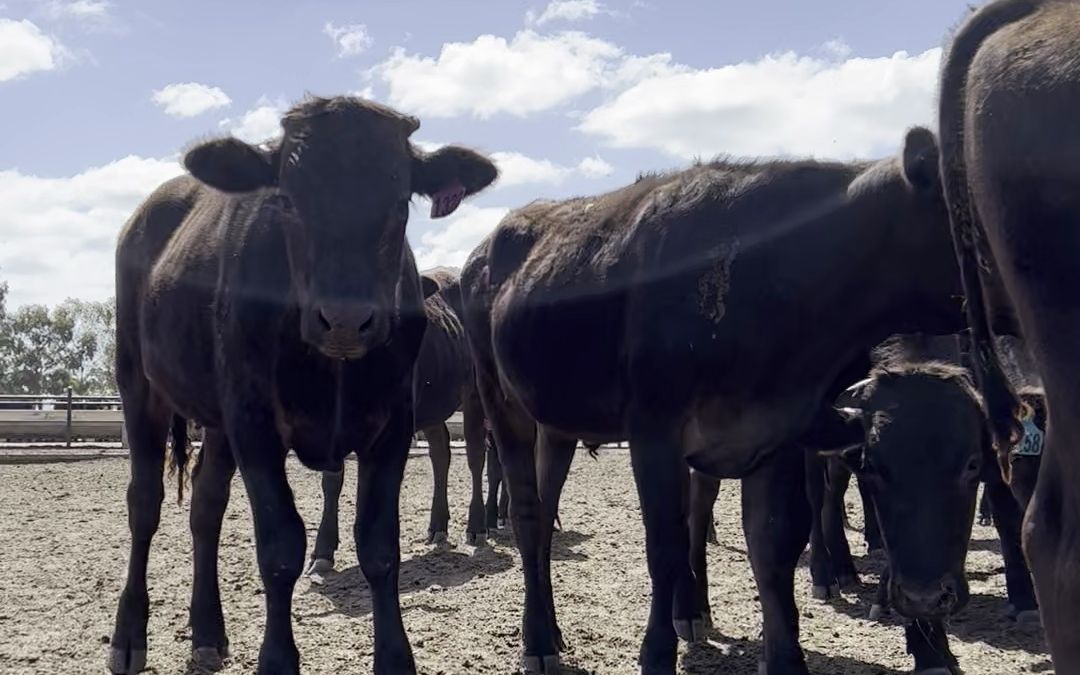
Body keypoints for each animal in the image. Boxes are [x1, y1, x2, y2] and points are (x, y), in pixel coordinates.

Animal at [308, 265, 494, 583]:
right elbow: (331, 481)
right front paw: (322, 553)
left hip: (474, 394)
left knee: (474, 455)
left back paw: (477, 527)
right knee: (440, 452)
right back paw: (438, 527)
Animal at [460, 127, 967, 673]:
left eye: (973, 465)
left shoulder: (775, 430)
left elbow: (772, 543)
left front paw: (785, 658)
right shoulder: (653, 430)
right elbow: (665, 543)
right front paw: (657, 654)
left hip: (557, 423)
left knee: (546, 509)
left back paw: (553, 630)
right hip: (501, 400)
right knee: (529, 514)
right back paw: (537, 641)